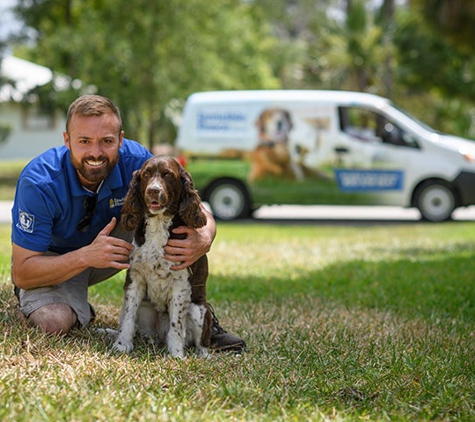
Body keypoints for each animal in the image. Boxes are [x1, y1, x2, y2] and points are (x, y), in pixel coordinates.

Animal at [113, 155, 212, 356]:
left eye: (168, 175)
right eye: (146, 174)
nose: (153, 190)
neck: (159, 225)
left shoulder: (181, 284)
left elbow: (176, 325)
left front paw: (176, 354)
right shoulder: (135, 278)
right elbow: (128, 316)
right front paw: (122, 345)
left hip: (199, 310)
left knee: (202, 342)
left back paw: (203, 355)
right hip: (146, 307)